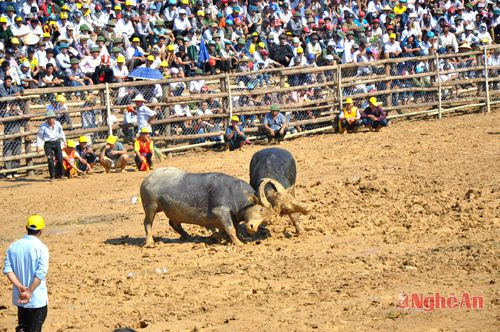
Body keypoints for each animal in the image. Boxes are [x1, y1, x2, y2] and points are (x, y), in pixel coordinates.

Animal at [138, 166, 270, 246]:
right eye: (261, 209)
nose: (253, 228)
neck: (234, 193)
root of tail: (147, 179)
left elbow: (232, 229)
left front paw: (220, 237)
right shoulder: (221, 212)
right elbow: (230, 228)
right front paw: (239, 243)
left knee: (174, 223)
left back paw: (187, 236)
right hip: (150, 206)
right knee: (147, 223)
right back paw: (149, 243)